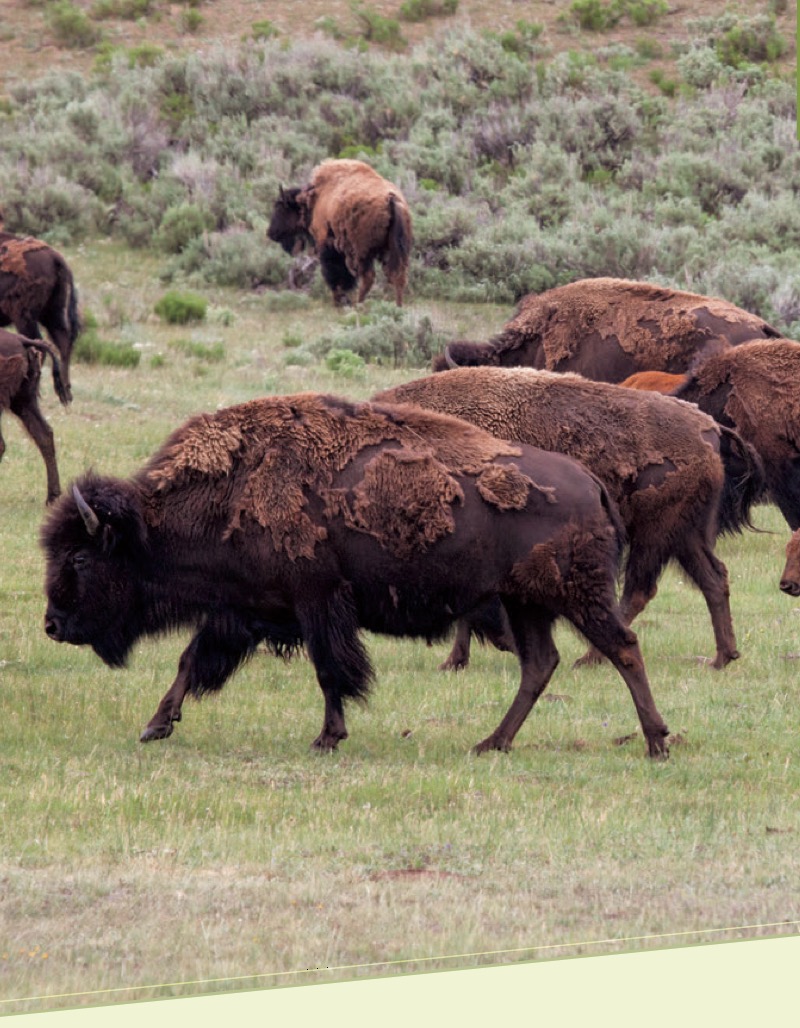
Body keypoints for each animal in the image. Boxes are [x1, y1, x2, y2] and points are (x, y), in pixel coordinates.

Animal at [0, 231, 81, 402]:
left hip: (24, 317)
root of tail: (53, 256)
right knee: (63, 342)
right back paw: (66, 392)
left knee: (39, 343)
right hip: (51, 313)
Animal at [41, 393, 670, 758]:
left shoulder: (316, 602)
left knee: (623, 648)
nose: (51, 624)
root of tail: (592, 484)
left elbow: (330, 671)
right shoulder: (242, 609)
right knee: (540, 664)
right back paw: (490, 743)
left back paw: (656, 742)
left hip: (575, 596)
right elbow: (191, 661)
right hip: (525, 603)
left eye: (80, 558)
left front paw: (327, 738)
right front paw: (156, 726)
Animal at [267, 159, 413, 306]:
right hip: (395, 250)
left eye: (280, 207)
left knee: (368, 277)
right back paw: (398, 306)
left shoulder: (328, 246)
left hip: (362, 252)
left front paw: (339, 301)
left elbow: (335, 275)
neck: (314, 199)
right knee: (398, 276)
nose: (270, 233)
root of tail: (390, 199)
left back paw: (358, 304)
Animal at [375, 368, 764, 671]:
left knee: (641, 590)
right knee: (713, 578)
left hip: (656, 533)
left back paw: (590, 657)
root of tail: (709, 427)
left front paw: (460, 658)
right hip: (686, 534)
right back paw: (722, 658)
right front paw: (456, 661)